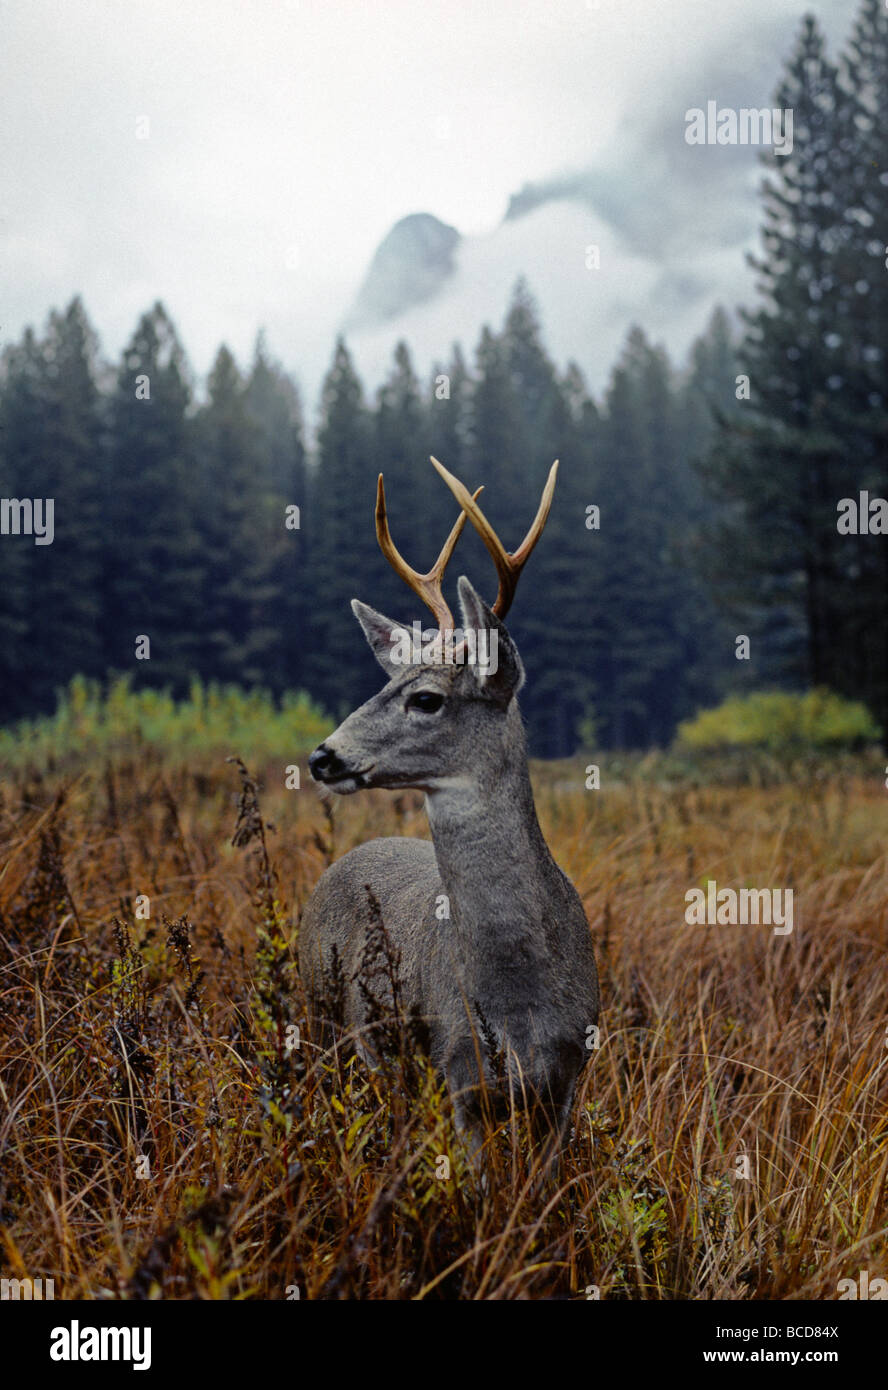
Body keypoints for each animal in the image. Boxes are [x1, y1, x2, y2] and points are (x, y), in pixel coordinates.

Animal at [302, 458, 600, 1162]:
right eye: (383, 684)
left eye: (428, 699)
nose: (323, 756)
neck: (519, 1000)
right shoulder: (459, 1072)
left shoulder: (566, 1080)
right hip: (320, 1016)